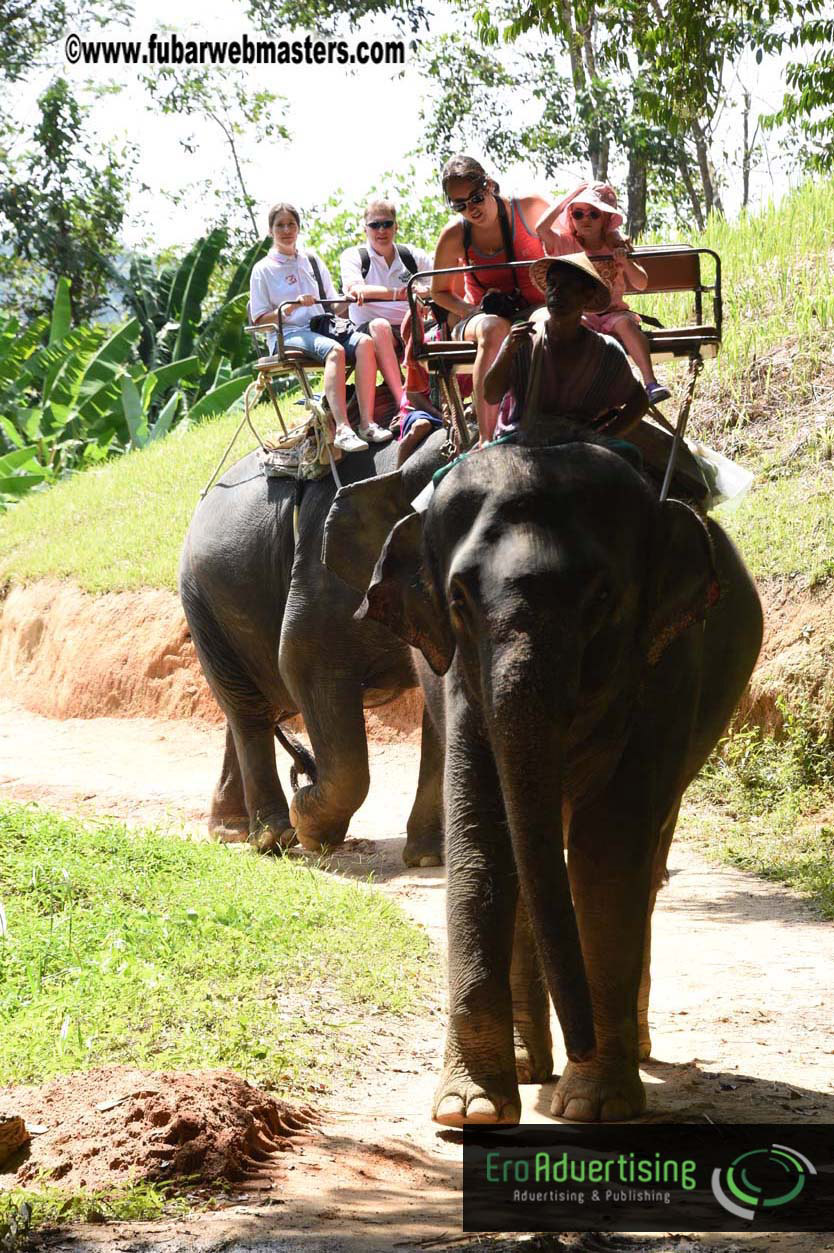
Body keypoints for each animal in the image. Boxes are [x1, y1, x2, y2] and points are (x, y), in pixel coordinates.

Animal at [179, 431, 449, 865]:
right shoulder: (321, 581)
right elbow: (302, 665)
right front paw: (311, 826)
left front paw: (427, 857)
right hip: (202, 601)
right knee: (249, 710)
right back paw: (272, 835)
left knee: (254, 708)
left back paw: (232, 829)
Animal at [323, 423, 763, 1124]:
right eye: (458, 599)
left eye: (602, 596)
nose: (581, 1044)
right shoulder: (458, 679)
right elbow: (484, 843)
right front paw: (469, 1109)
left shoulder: (665, 670)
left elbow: (607, 854)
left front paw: (594, 1103)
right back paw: (532, 1066)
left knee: (644, 860)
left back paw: (628, 1052)